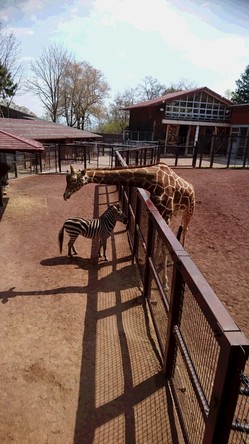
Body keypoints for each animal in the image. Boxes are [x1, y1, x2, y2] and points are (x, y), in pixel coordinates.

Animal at [62, 163, 195, 246]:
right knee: (182, 227)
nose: (65, 195)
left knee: (186, 228)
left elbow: (160, 243)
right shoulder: (158, 210)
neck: (155, 180)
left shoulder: (167, 213)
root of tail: (192, 188)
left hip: (189, 209)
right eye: (67, 179)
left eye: (73, 180)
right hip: (179, 210)